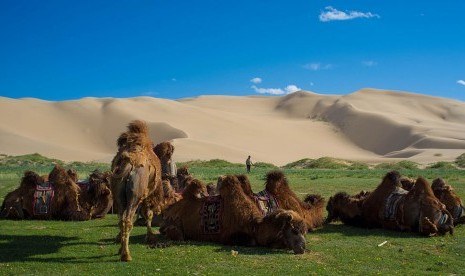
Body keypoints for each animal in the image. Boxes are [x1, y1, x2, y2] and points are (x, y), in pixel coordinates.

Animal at [111, 119, 163, 262]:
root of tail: (128, 164)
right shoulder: (148, 195)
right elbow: (148, 214)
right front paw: (150, 236)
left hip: (118, 194)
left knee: (121, 219)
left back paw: (121, 250)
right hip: (135, 194)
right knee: (128, 220)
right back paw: (126, 255)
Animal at [160, 175, 308, 254]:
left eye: (303, 231)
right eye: (294, 231)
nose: (303, 248)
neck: (255, 226)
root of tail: (169, 210)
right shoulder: (229, 236)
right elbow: (252, 242)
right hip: (174, 225)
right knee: (176, 234)